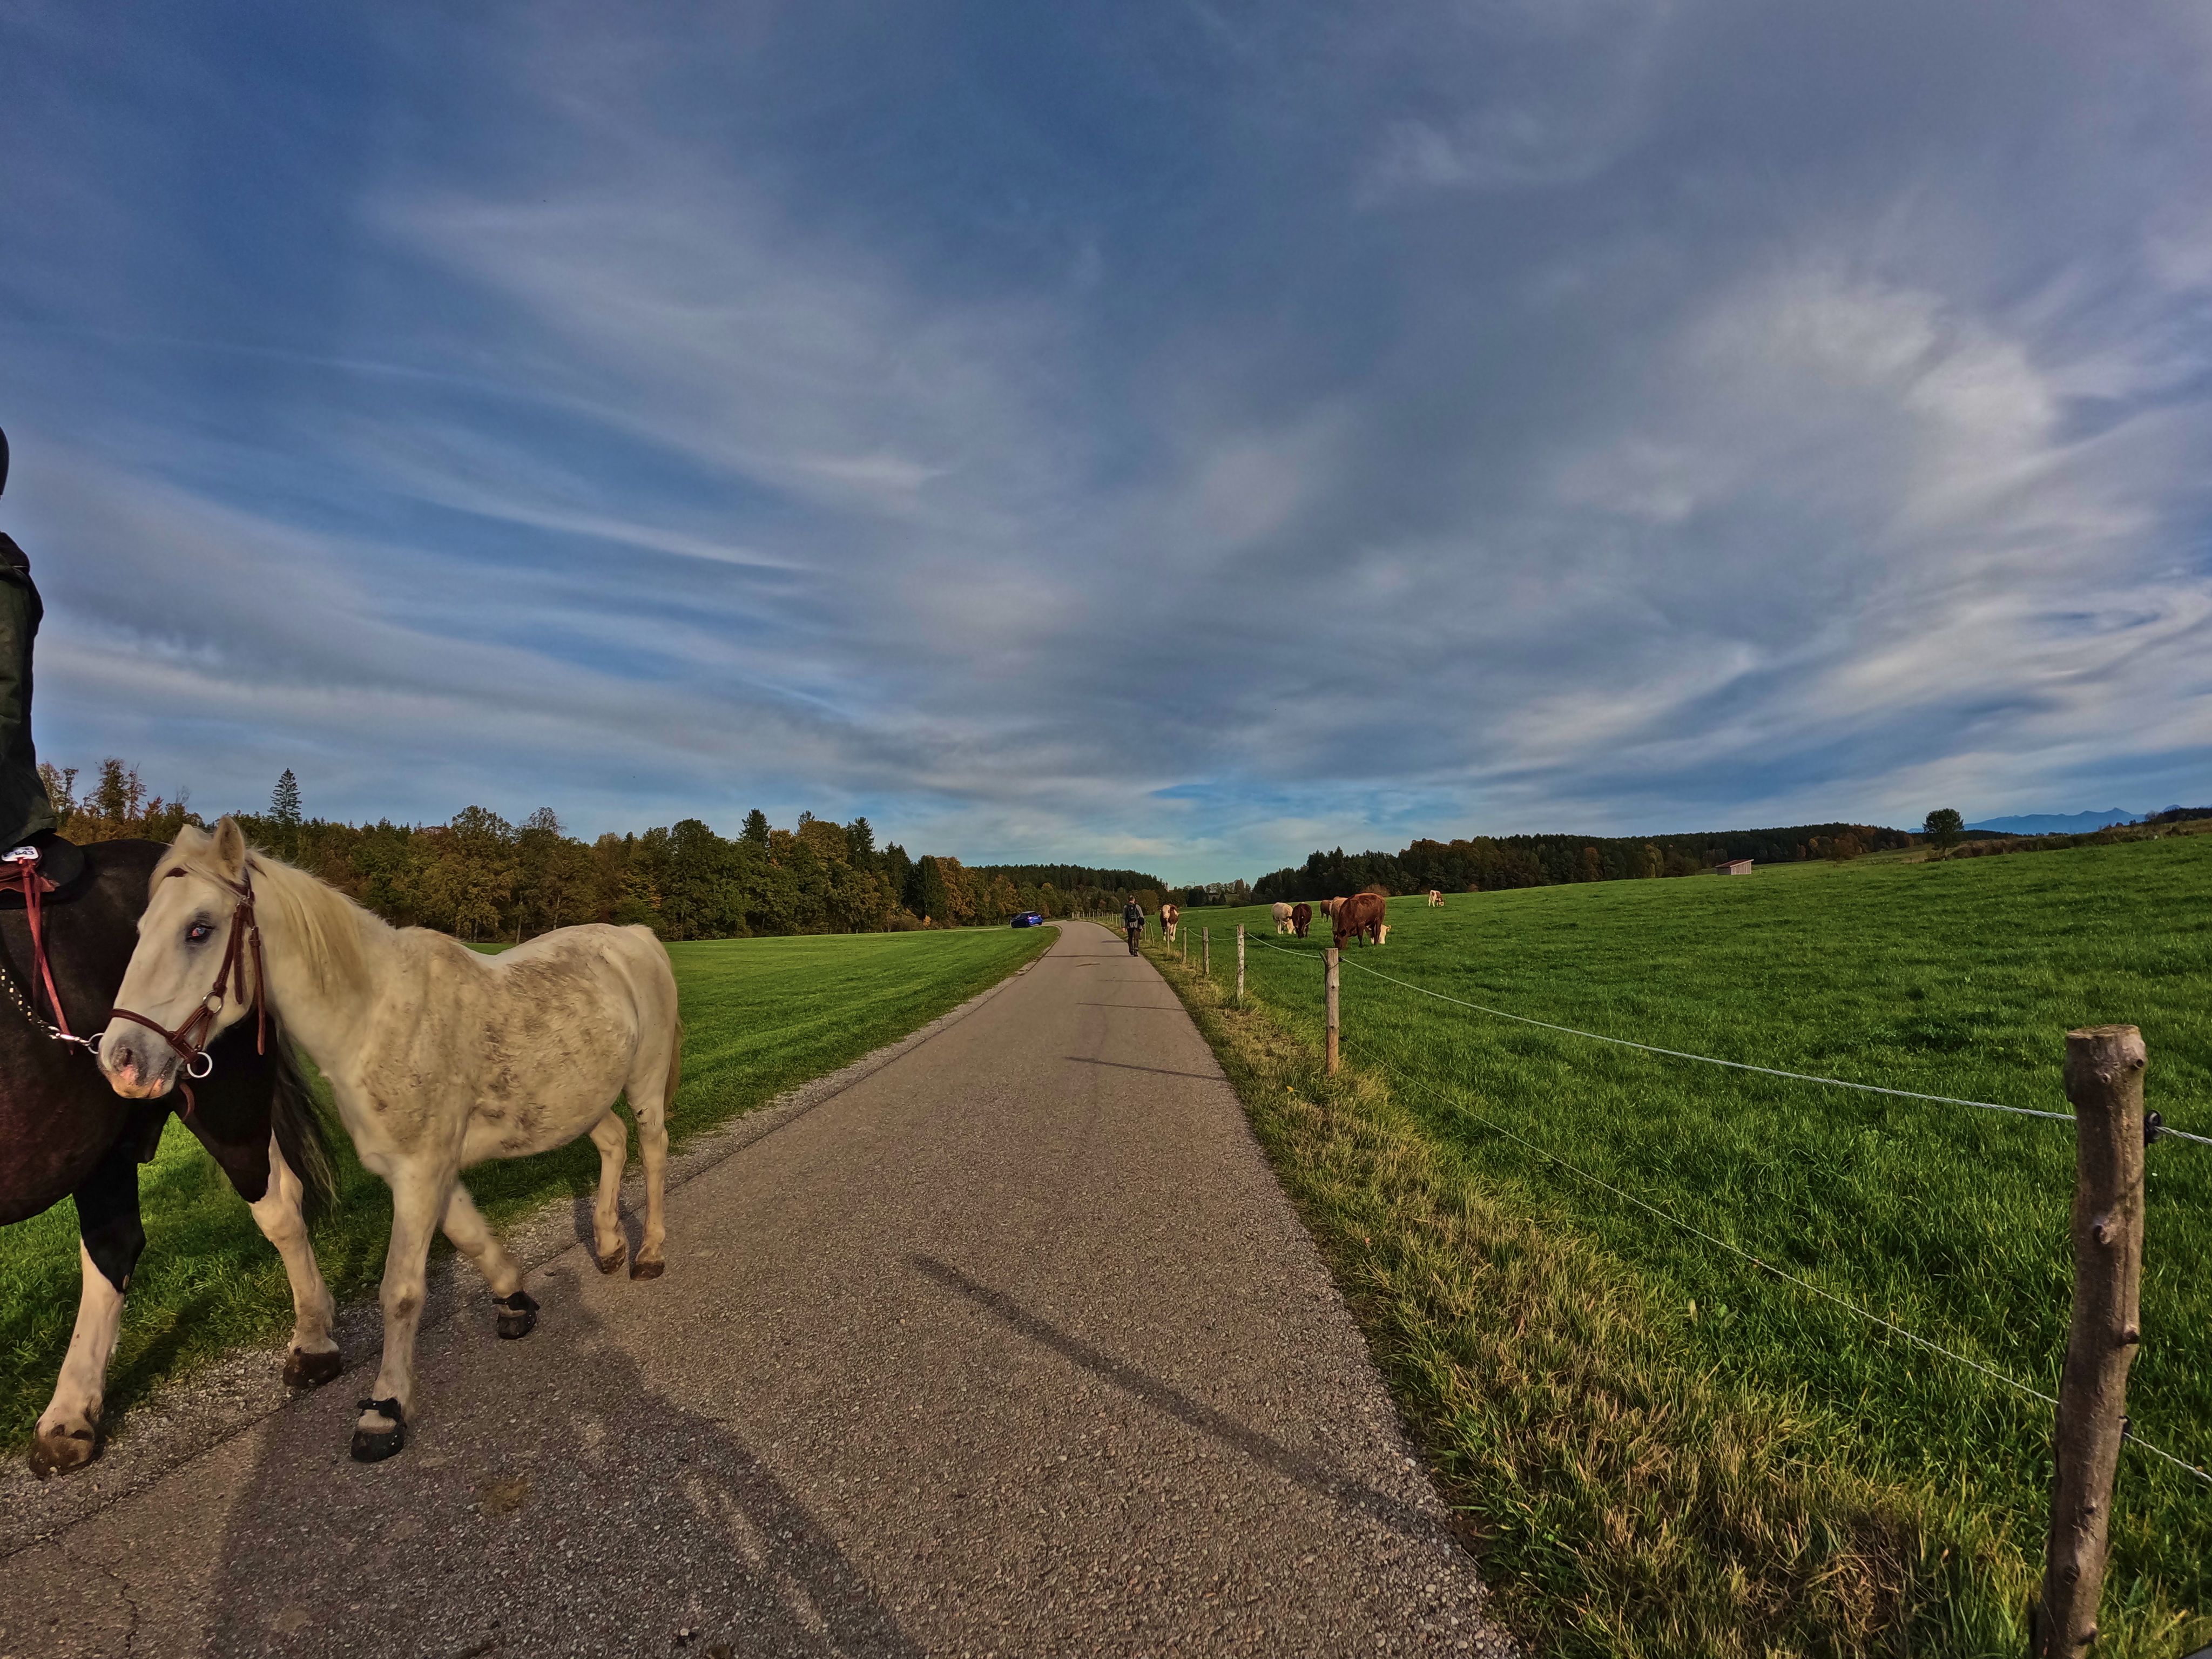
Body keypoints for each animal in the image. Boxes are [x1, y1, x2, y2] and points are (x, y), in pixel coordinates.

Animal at [3, 837, 338, 1476]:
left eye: (199, 931)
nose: (120, 1057)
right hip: (100, 1138)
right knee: (113, 1244)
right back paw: (70, 1414)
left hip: (225, 1099)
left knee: (277, 1206)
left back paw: (313, 1341)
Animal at [100, 819, 683, 1464]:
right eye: (140, 931)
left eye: (198, 930)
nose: (121, 1060)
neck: (373, 1021)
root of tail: (634, 937)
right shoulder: (425, 1169)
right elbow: (470, 1236)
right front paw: (514, 1302)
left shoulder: (420, 1170)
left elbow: (400, 1291)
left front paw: (384, 1409)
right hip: (579, 1101)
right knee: (612, 1142)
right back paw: (608, 1243)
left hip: (644, 1084)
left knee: (653, 1151)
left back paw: (649, 1254)